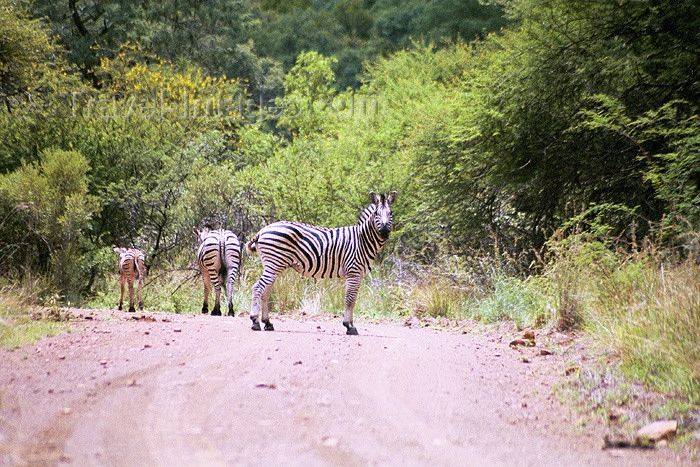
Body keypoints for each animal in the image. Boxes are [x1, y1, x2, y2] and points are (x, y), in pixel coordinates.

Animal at [249, 191, 396, 336]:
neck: (362, 240)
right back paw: (255, 321)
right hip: (274, 264)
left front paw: (350, 324)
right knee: (257, 287)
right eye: (376, 213)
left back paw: (267, 323)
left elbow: (353, 300)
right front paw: (349, 326)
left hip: (272, 265)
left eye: (391, 213)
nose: (384, 232)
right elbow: (349, 300)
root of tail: (262, 231)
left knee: (265, 291)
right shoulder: (353, 272)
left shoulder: (358, 275)